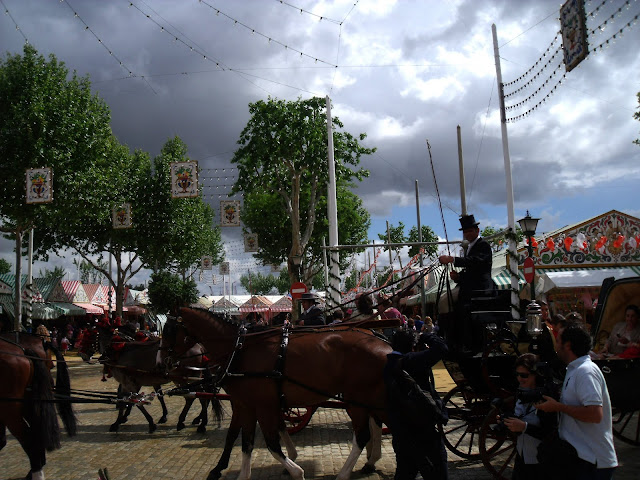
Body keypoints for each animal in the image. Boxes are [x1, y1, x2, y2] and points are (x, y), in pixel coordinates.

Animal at [178, 308, 392, 480]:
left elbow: (269, 441)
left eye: (172, 330)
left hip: (356, 399)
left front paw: (295, 469)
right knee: (375, 424)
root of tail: (383, 343)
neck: (240, 350)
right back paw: (371, 460)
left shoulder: (260, 404)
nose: (173, 366)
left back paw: (347, 472)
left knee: (364, 433)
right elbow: (243, 438)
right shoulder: (248, 403)